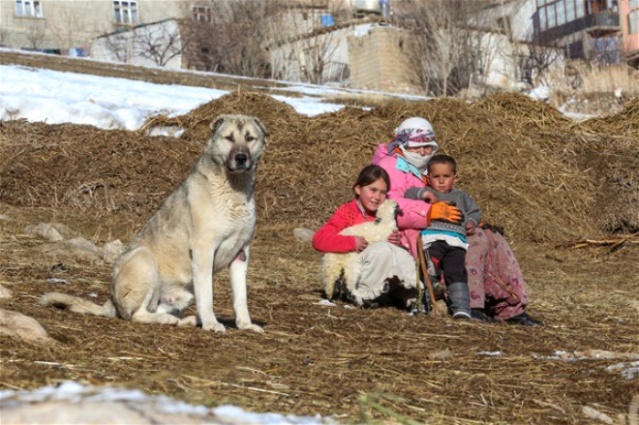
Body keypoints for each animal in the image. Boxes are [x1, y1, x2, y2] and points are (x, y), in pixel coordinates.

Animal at [41, 114, 267, 333]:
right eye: (229, 138)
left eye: (249, 138)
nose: (241, 158)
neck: (235, 188)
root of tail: (111, 298)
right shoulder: (203, 250)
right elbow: (207, 294)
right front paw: (211, 324)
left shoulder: (241, 254)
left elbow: (241, 297)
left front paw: (245, 325)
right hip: (144, 259)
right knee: (137, 314)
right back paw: (169, 319)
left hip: (182, 292)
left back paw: (186, 320)